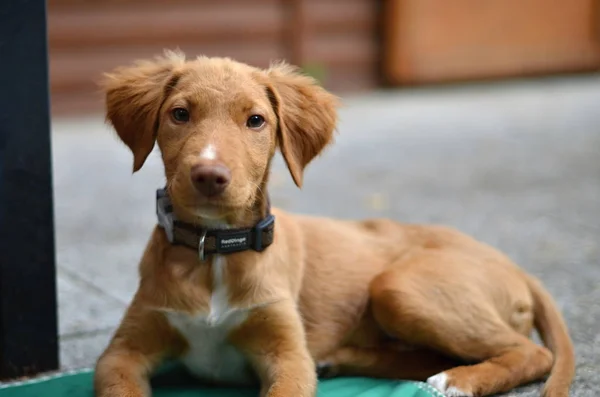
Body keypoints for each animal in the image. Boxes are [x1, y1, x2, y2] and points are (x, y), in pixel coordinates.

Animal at [95, 51, 576, 396]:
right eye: (180, 114)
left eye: (256, 120)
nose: (210, 176)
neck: (214, 250)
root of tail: (514, 265)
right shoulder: (121, 354)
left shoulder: (288, 356)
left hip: (399, 288)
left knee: (533, 352)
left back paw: (458, 381)